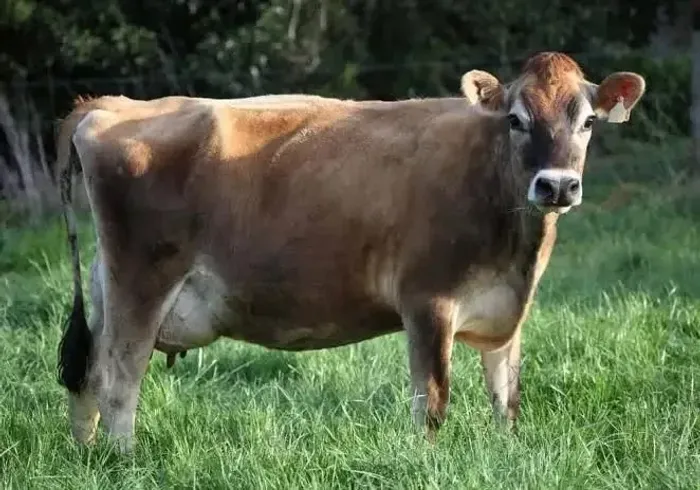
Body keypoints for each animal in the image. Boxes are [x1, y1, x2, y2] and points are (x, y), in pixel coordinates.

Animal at [55, 52, 645, 452]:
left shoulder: (508, 311)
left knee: (88, 375)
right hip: (141, 279)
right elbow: (432, 402)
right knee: (119, 377)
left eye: (587, 121)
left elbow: (506, 399)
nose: (557, 186)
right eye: (516, 119)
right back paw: (124, 460)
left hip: (109, 283)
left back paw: (88, 458)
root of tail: (111, 106)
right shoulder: (428, 301)